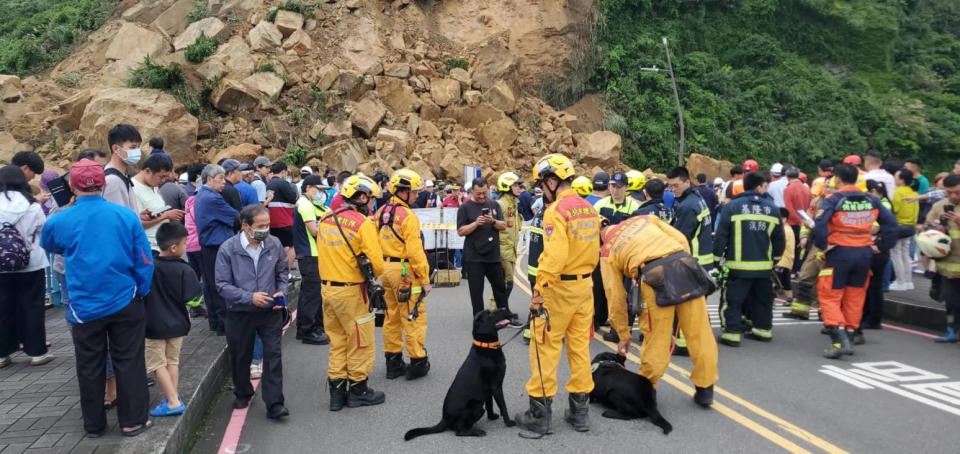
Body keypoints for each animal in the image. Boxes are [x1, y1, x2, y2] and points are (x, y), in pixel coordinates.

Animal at [404, 306, 516, 438]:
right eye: (489, 314)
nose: (504, 307)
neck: (486, 345)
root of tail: (444, 419)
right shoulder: (496, 386)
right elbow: (503, 406)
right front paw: (509, 423)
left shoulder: (488, 390)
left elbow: (490, 404)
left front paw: (492, 417)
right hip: (477, 407)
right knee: (459, 431)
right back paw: (476, 431)